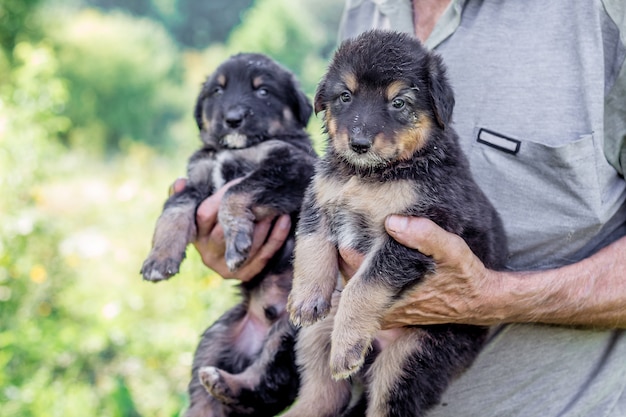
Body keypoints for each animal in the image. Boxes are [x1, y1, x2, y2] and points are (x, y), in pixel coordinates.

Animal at [141, 53, 316, 414]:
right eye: (217, 91)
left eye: (263, 91)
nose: (233, 119)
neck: (234, 150)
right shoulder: (196, 179)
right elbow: (172, 212)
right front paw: (159, 259)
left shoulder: (293, 167)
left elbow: (237, 192)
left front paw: (237, 242)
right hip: (217, 336)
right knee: (206, 394)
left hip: (294, 330)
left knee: (268, 382)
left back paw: (229, 383)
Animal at [286, 31, 504, 416]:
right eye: (345, 96)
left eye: (398, 103)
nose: (358, 144)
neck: (373, 174)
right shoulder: (320, 198)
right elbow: (311, 245)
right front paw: (305, 298)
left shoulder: (411, 233)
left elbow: (363, 286)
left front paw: (346, 347)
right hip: (317, 337)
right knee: (321, 394)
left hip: (411, 358)